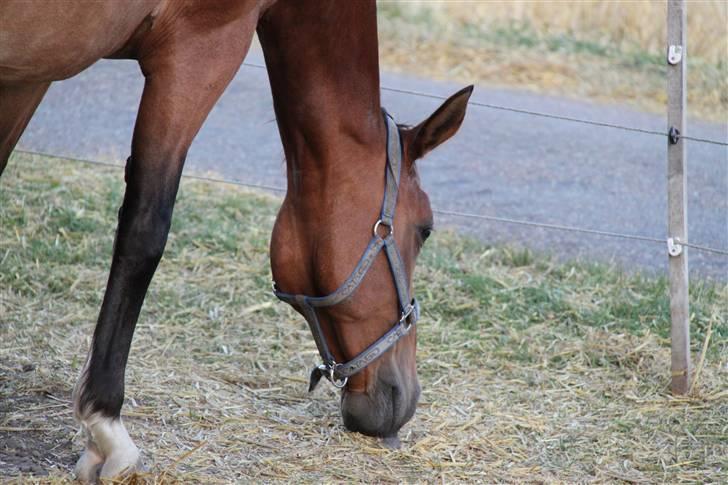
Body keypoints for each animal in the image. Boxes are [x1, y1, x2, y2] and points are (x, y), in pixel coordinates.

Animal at [0, 0, 472, 480]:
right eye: (426, 228)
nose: (406, 393)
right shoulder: (199, 50)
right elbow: (144, 231)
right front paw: (106, 426)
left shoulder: (29, 72)